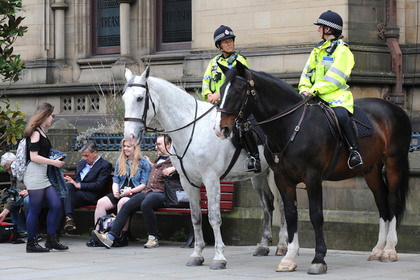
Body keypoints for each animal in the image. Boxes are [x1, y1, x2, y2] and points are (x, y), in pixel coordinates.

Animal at [121, 67, 286, 270]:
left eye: (139, 98)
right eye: (124, 98)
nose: (129, 137)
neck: (191, 130)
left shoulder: (211, 179)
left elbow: (214, 218)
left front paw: (219, 257)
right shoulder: (188, 182)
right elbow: (196, 217)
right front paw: (197, 254)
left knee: (282, 205)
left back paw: (282, 245)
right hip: (259, 174)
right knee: (267, 204)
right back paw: (263, 245)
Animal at [213, 62, 410, 274]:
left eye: (239, 90)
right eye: (221, 90)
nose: (220, 129)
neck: (290, 126)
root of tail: (395, 107)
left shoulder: (312, 177)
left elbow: (316, 215)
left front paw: (318, 259)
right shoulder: (283, 179)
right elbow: (291, 214)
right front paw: (289, 258)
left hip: (394, 162)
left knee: (392, 200)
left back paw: (389, 249)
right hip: (372, 169)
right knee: (381, 201)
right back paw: (378, 249)